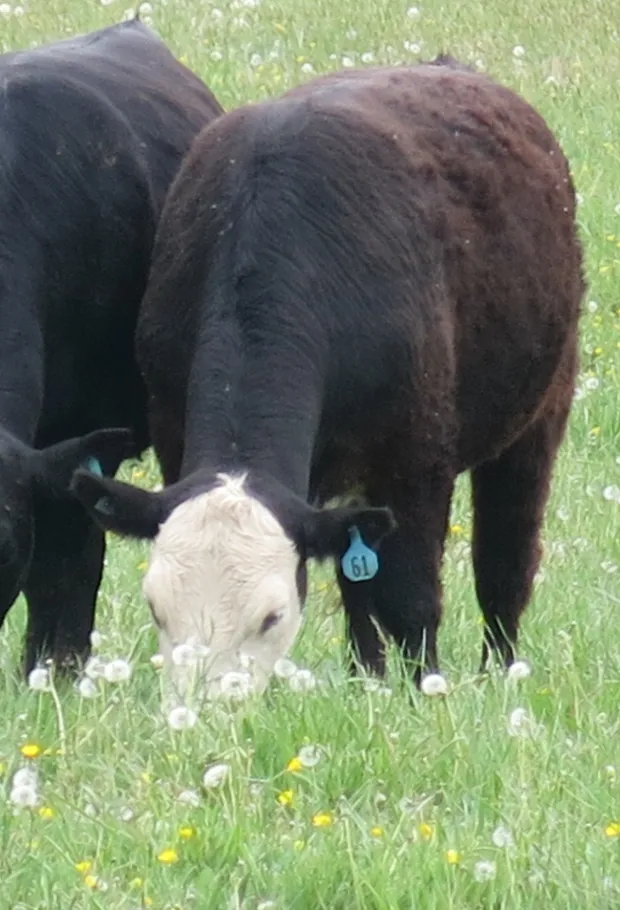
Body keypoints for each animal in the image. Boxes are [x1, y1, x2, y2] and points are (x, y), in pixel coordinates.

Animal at [71, 57, 580, 696]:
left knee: (505, 563)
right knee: (358, 581)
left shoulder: (416, 463)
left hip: (538, 417)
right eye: (157, 608)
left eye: (271, 617)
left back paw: (501, 671)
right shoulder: (173, 432)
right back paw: (367, 677)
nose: (206, 710)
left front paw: (426, 693)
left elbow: (413, 598)